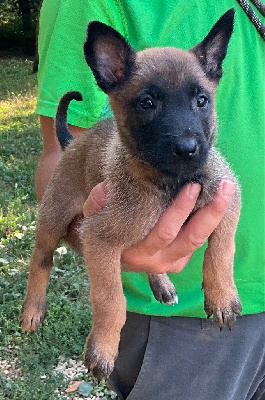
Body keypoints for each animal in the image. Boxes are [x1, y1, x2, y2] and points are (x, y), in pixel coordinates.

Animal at [19, 7, 240, 380]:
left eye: (201, 101)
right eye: (147, 103)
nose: (188, 149)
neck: (170, 183)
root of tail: (73, 143)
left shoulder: (228, 196)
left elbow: (222, 251)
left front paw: (222, 295)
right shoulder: (98, 238)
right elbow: (112, 301)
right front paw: (104, 348)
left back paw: (161, 282)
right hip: (53, 218)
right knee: (41, 260)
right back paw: (32, 308)